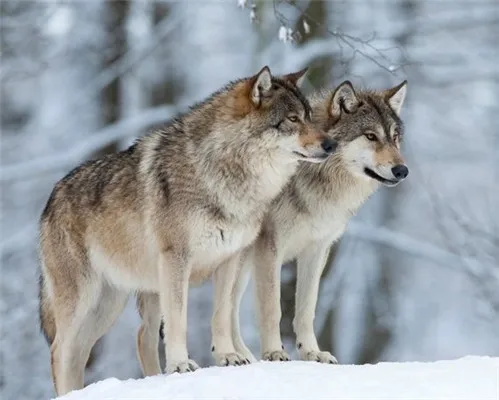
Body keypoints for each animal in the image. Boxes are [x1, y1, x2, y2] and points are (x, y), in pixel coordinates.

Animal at [38, 65, 336, 394]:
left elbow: (221, 315)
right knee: (59, 351)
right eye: (293, 119)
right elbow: (178, 320)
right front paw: (181, 364)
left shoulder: (230, 258)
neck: (223, 171)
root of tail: (51, 198)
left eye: (309, 116)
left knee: (99, 347)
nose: (331, 144)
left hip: (109, 305)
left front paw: (228, 356)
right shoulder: (176, 259)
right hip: (83, 301)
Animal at [230, 78, 410, 362]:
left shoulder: (317, 249)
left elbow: (306, 309)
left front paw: (312, 353)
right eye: (370, 136)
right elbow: (272, 308)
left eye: (394, 138)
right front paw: (274, 352)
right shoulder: (270, 248)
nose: (402, 170)